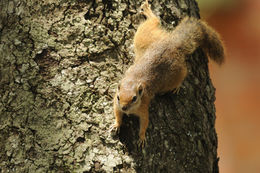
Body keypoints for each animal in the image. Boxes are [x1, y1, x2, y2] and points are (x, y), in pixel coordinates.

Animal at [111, 0, 223, 147]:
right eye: (119, 97)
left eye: (134, 98)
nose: (124, 107)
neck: (133, 81)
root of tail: (173, 43)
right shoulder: (116, 103)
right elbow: (117, 113)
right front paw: (117, 124)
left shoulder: (144, 107)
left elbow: (145, 123)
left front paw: (142, 138)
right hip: (146, 37)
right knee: (153, 22)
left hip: (174, 71)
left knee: (183, 73)